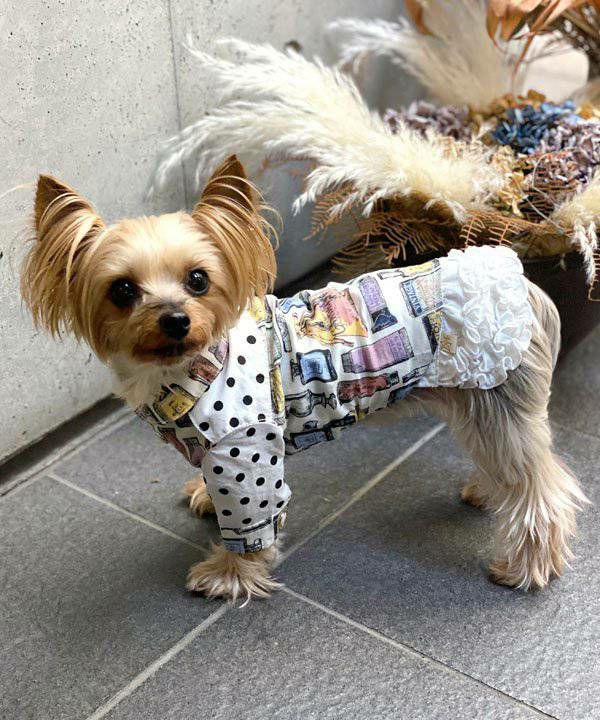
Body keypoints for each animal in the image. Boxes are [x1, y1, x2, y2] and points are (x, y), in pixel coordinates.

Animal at [21, 154, 587, 602]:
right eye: (121, 290)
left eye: (198, 280)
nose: (176, 320)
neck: (191, 365)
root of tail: (527, 288)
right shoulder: (222, 452)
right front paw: (204, 499)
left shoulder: (244, 453)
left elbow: (252, 519)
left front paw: (229, 574)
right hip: (477, 397)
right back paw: (486, 492)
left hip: (496, 399)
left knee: (543, 491)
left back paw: (526, 569)